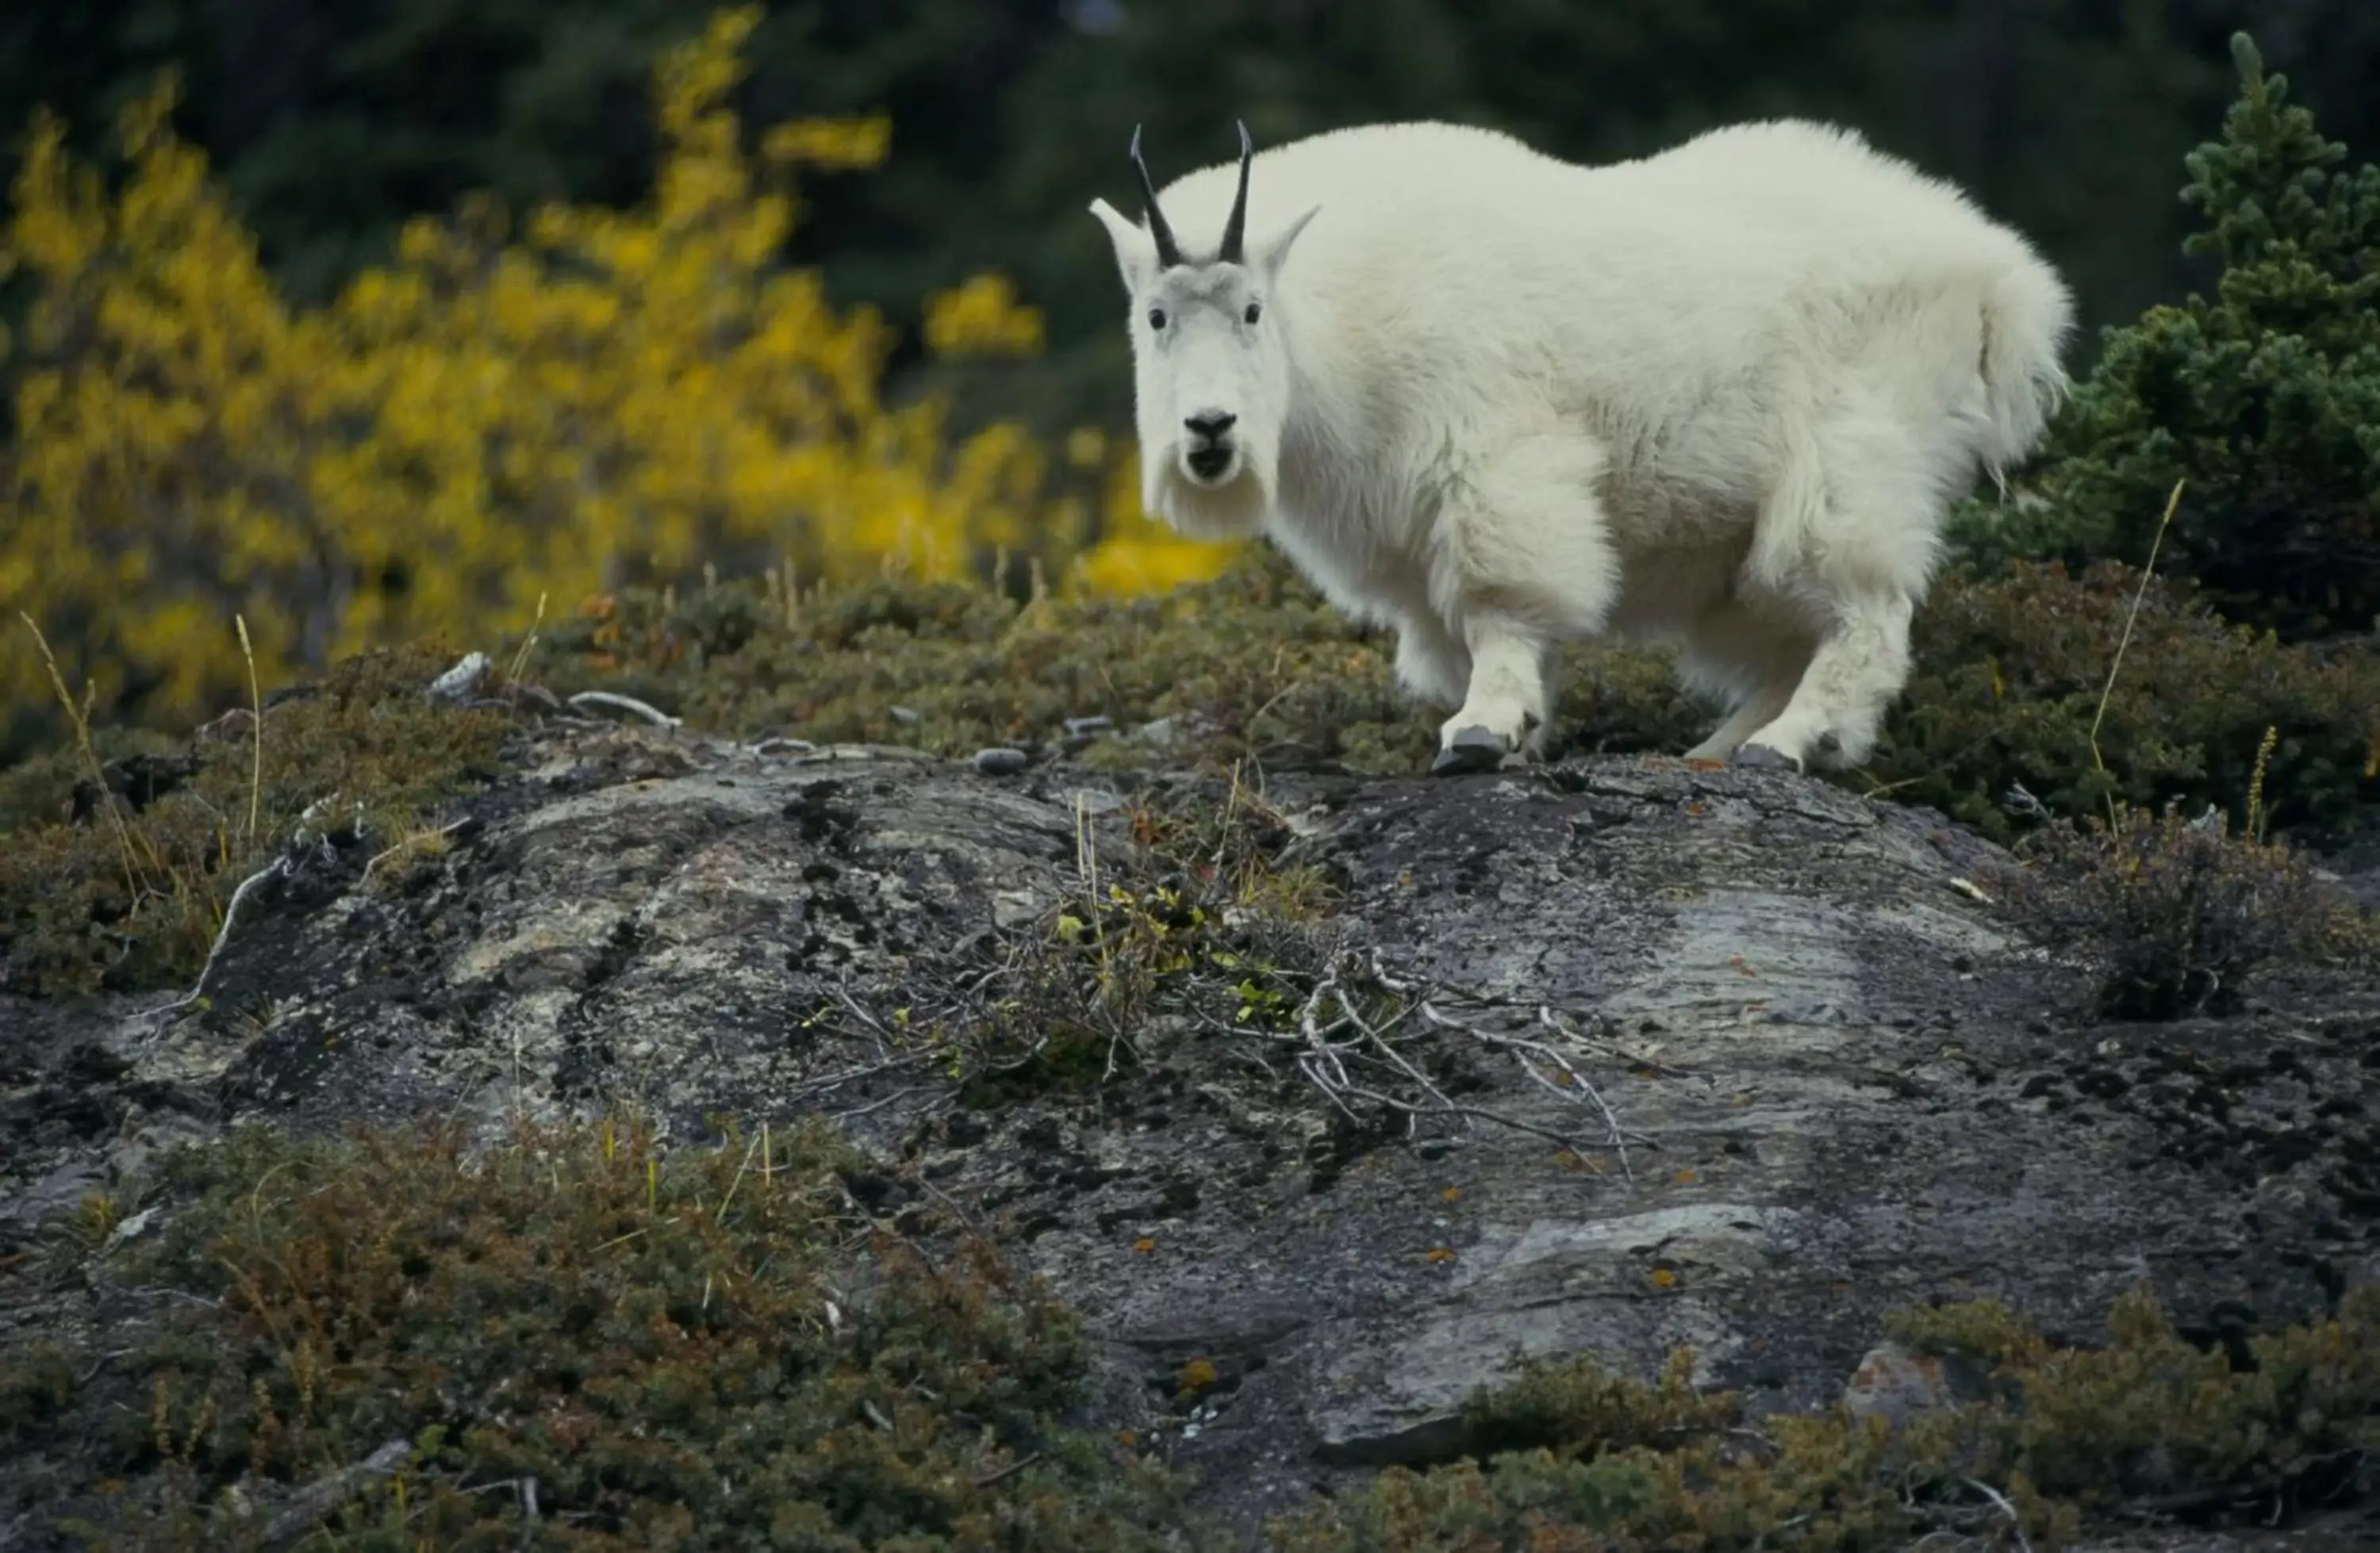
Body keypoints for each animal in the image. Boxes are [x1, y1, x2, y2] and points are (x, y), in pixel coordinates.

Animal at [1090, 118, 2075, 770]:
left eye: (1252, 310)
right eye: (1155, 316)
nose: (1209, 430)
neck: (1335, 319)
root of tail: (2001, 278)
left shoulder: (1490, 461)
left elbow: (1503, 607)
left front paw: (1483, 730)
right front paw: (1523, 732)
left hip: (1853, 459)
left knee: (1865, 614)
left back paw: (1789, 743)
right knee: (1787, 636)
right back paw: (1719, 749)